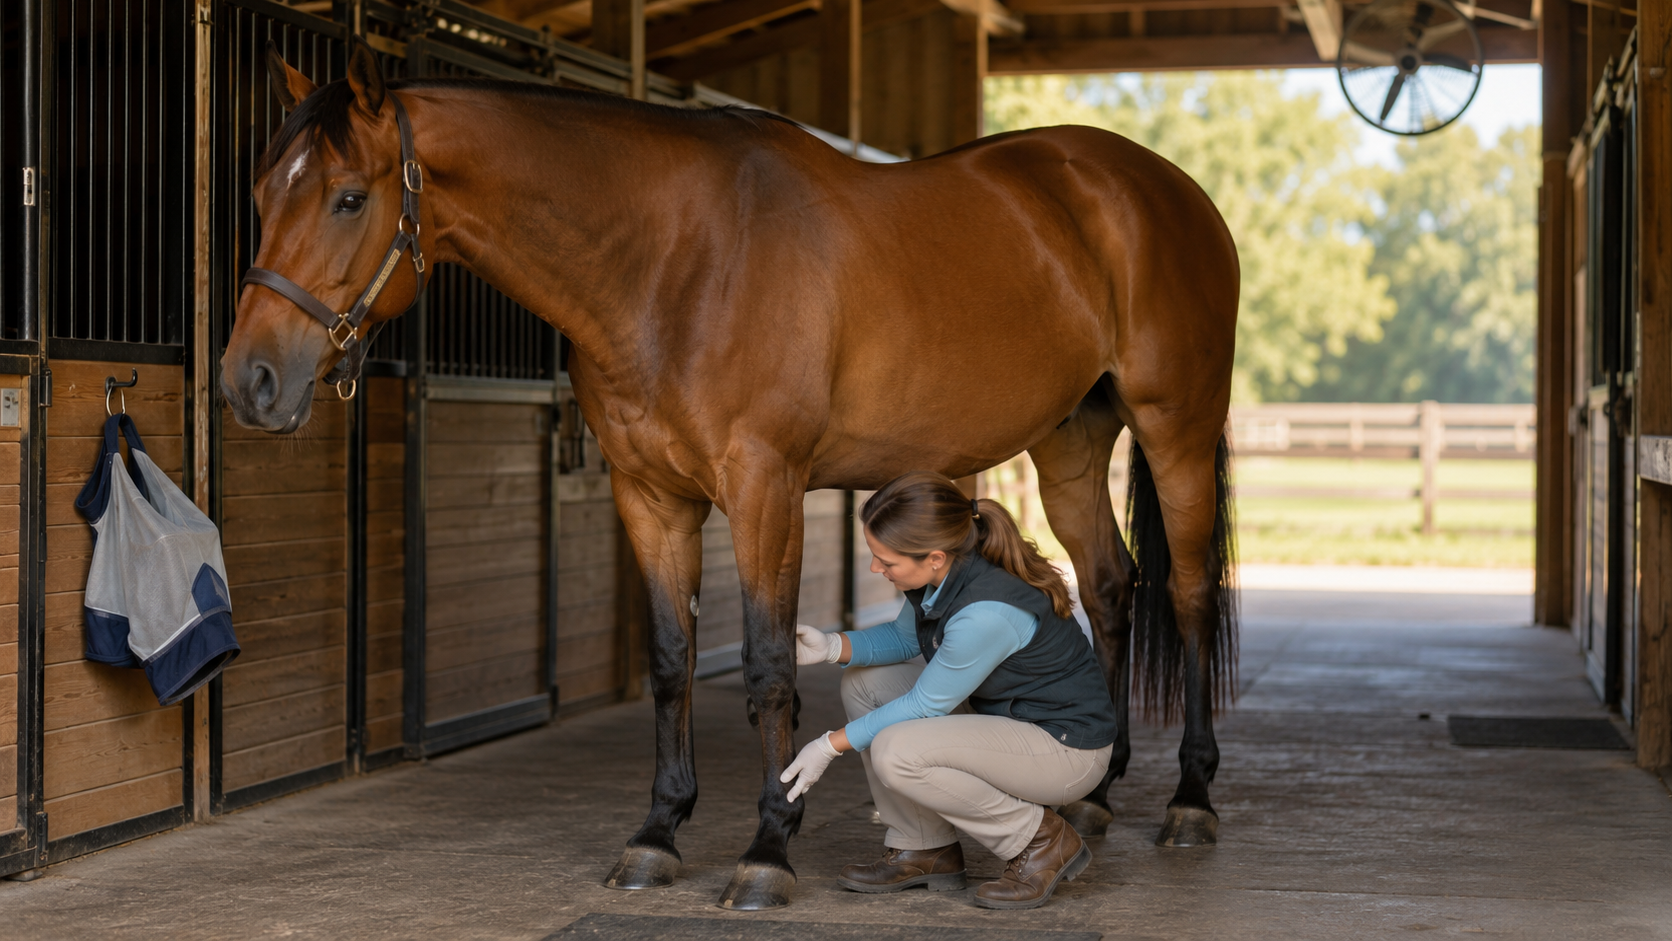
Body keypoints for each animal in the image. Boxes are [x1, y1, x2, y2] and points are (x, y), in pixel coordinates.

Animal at [223, 37, 1240, 911]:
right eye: (264, 194)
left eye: (348, 198)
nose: (249, 382)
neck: (672, 262)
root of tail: (1163, 188)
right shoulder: (650, 496)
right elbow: (673, 659)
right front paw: (657, 833)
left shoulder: (764, 487)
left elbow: (764, 664)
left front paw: (768, 846)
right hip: (1070, 439)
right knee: (1106, 584)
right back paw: (1094, 792)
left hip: (1176, 428)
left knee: (1189, 592)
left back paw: (1190, 798)